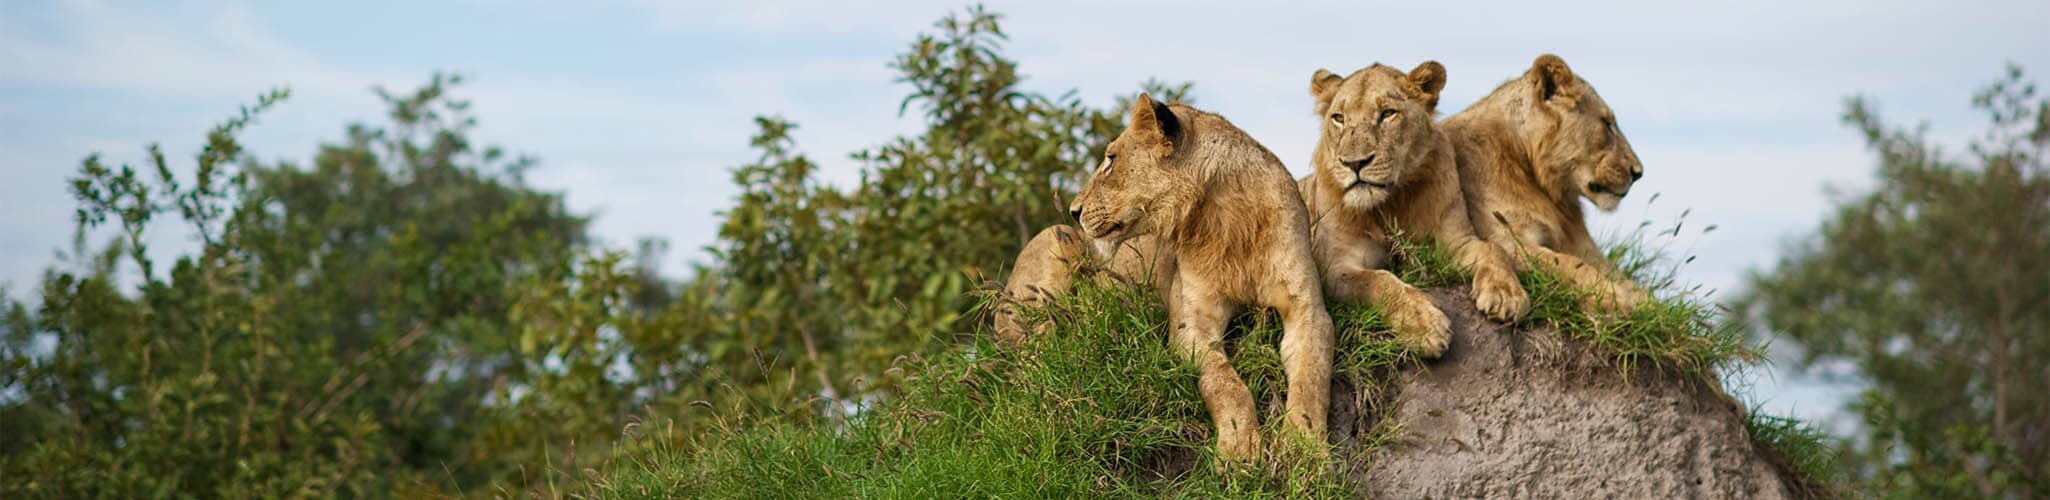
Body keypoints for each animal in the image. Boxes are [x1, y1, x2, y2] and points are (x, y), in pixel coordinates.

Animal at [996, 94, 1334, 463]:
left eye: (1111, 160)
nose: (1074, 210)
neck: (1227, 221)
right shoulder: (1191, 322)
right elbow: (1224, 382)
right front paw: (1239, 448)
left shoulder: (1308, 310)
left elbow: (1311, 378)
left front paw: (1306, 449)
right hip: (1056, 239)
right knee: (1030, 360)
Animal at [1299, 61, 1530, 359]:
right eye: (1338, 118)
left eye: (1387, 114)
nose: (1354, 163)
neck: (1390, 205)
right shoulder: (1334, 265)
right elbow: (1378, 280)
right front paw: (1424, 326)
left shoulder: (1454, 243)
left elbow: (1493, 249)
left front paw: (1506, 294)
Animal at [1442, 54, 1651, 311]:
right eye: (1606, 123)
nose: (1638, 172)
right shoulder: (1504, 238)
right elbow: (1566, 263)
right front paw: (1616, 298)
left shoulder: (1586, 249)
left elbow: (1638, 288)